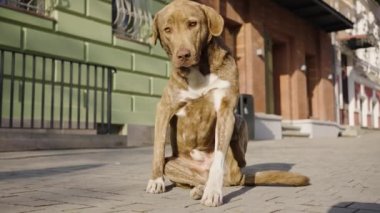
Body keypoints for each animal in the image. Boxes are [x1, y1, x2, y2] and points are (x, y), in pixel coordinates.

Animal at [145, 0, 308, 206]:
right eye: (167, 29)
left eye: (192, 24)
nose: (183, 55)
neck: (199, 69)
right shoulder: (165, 109)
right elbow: (158, 148)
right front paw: (155, 180)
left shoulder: (225, 111)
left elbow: (218, 158)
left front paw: (213, 192)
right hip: (173, 164)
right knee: (190, 176)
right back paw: (199, 188)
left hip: (240, 122)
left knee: (228, 169)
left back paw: (211, 184)